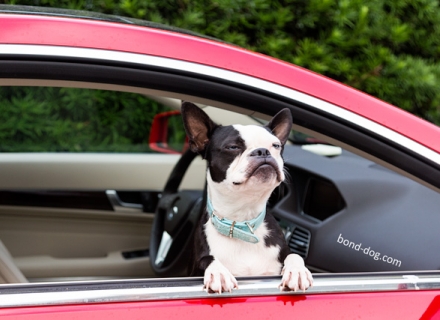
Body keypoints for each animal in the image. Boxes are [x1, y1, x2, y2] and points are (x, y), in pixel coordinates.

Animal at [182, 102, 312, 292]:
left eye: (276, 145)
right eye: (233, 147)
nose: (262, 151)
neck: (242, 223)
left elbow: (294, 255)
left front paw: (297, 271)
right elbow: (207, 259)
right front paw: (218, 273)